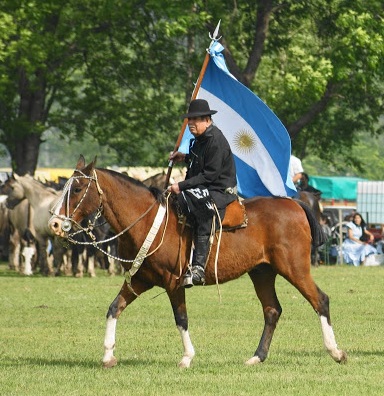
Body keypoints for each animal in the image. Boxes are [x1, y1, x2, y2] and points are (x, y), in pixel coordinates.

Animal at [48, 155, 348, 368]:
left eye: (77, 188)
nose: (54, 223)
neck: (146, 220)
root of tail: (295, 204)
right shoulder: (139, 280)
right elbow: (114, 309)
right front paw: (108, 356)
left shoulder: (173, 283)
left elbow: (181, 318)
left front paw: (187, 357)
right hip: (262, 272)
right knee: (272, 310)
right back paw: (256, 357)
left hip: (294, 268)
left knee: (320, 300)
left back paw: (336, 352)